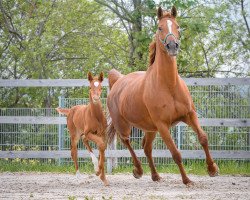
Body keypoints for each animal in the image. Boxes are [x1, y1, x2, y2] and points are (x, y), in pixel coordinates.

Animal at [107, 6, 219, 185]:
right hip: (123, 125)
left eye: (178, 26)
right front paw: (187, 180)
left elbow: (203, 138)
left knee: (146, 148)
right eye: (160, 28)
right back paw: (138, 170)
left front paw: (212, 169)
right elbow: (175, 153)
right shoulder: (163, 125)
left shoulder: (190, 115)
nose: (173, 46)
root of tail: (118, 80)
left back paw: (155, 176)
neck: (169, 86)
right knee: (127, 142)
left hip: (150, 129)